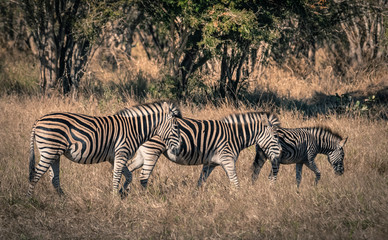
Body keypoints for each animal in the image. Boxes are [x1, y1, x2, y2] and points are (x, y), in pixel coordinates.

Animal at [27, 101, 182, 197]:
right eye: (176, 127)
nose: (180, 147)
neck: (134, 129)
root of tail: (38, 120)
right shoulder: (121, 153)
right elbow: (117, 176)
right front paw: (115, 198)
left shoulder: (114, 157)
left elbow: (128, 175)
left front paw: (123, 193)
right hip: (49, 151)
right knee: (35, 176)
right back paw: (30, 201)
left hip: (54, 153)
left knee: (54, 178)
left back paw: (64, 199)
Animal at [125, 111, 282, 188]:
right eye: (275, 136)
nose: (281, 152)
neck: (235, 136)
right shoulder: (228, 160)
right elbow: (235, 182)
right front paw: (238, 199)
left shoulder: (210, 163)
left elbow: (201, 182)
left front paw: (195, 199)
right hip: (152, 151)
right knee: (143, 177)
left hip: (143, 154)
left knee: (128, 167)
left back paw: (123, 193)